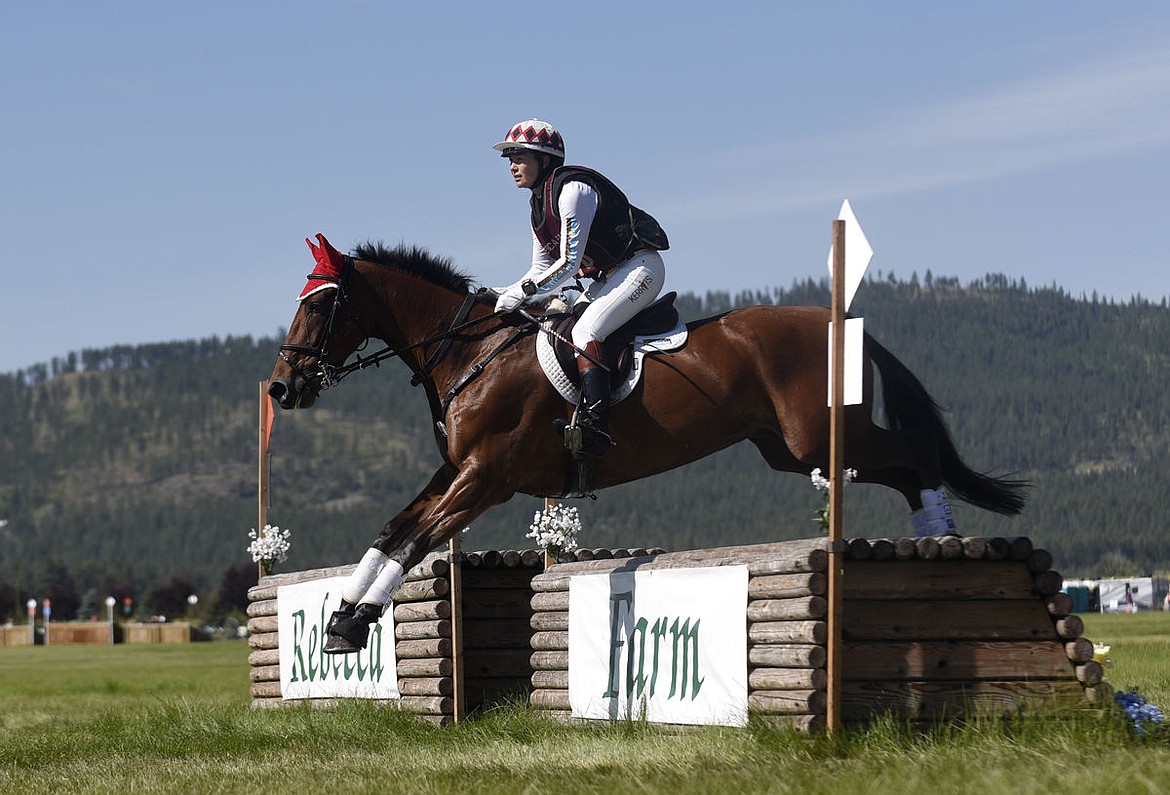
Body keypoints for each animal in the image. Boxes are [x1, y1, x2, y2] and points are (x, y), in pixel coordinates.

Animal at [265, 231, 1024, 650]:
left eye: (320, 304)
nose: (281, 388)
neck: (470, 351)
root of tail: (837, 320)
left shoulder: (488, 477)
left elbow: (417, 538)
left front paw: (356, 621)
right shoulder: (457, 469)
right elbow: (392, 528)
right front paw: (343, 615)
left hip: (819, 439)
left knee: (917, 460)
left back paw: (946, 542)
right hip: (788, 447)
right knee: (906, 467)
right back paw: (941, 540)